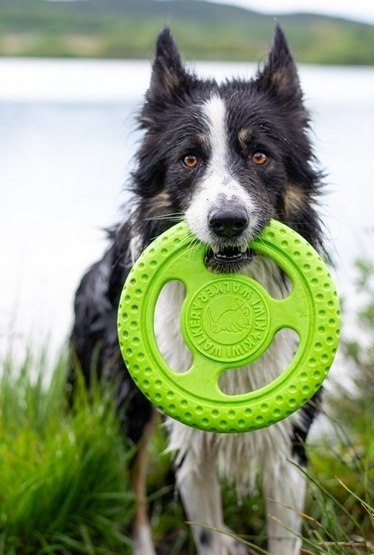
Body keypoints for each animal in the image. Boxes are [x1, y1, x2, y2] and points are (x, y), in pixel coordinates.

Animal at [70, 26, 324, 555]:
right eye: (189, 158)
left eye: (260, 155)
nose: (227, 222)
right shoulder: (187, 442)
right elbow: (204, 532)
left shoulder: (289, 442)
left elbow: (283, 534)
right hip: (129, 406)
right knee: (135, 490)